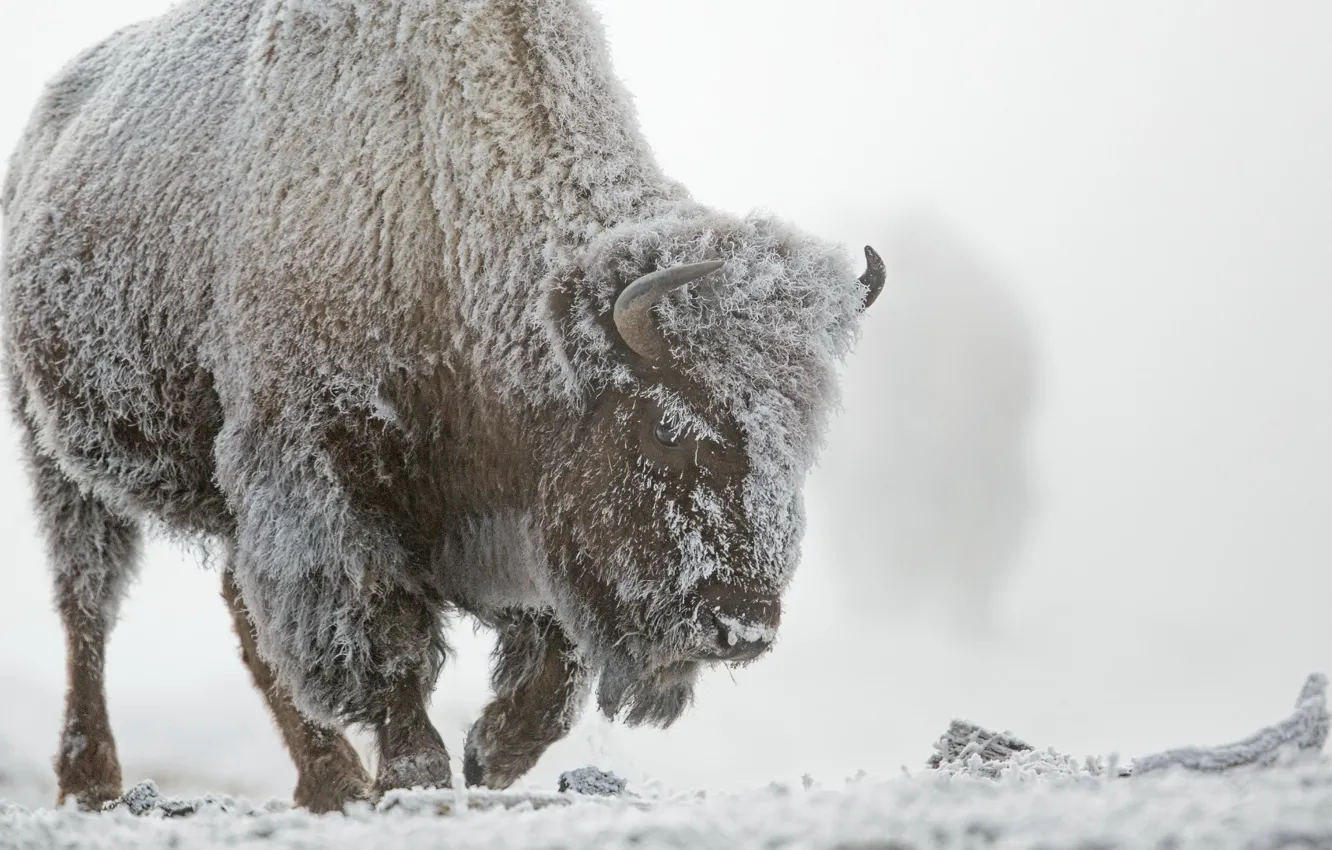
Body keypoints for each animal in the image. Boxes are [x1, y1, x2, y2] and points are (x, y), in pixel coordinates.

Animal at [2, 0, 884, 810]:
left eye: (799, 439)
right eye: (666, 428)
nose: (742, 627)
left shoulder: (520, 524)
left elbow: (549, 664)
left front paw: (490, 755)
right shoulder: (324, 473)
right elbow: (384, 636)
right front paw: (419, 772)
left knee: (239, 612)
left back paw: (329, 782)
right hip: (59, 459)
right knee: (88, 604)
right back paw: (95, 782)